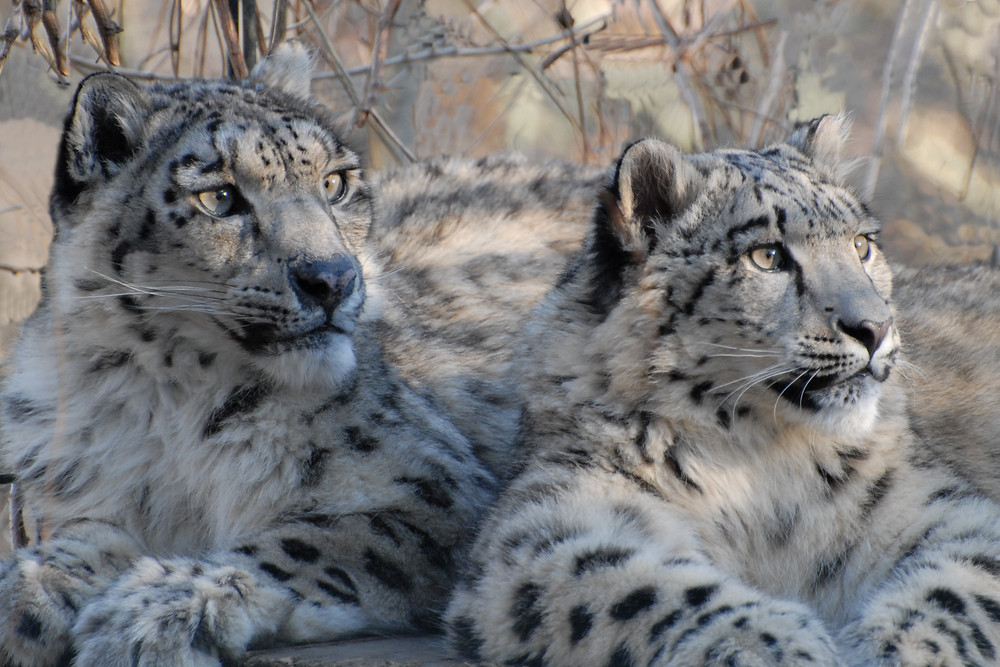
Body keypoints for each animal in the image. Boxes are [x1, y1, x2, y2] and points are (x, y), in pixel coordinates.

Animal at [0, 44, 496, 664]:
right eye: (219, 198)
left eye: (335, 183)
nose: (333, 278)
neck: (168, 403)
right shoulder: (79, 495)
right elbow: (82, 540)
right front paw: (29, 596)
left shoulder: (432, 488)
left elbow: (302, 543)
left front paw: (149, 612)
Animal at [444, 116, 1000, 667]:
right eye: (767, 256)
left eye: (862, 244)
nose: (875, 327)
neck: (762, 459)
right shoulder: (558, 518)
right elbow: (644, 587)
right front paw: (778, 646)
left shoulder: (933, 504)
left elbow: (959, 584)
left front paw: (901, 649)